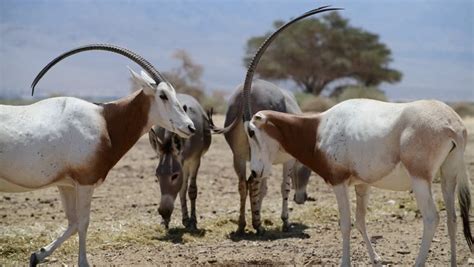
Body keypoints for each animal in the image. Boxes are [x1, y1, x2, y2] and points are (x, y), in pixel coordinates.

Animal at [0, 44, 195, 267]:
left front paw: (37, 255)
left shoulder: (66, 184)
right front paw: (83, 263)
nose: (190, 127)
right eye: (163, 95)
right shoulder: (85, 183)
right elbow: (83, 222)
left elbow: (73, 223)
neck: (104, 121)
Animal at [147, 88, 210, 230]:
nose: (164, 212)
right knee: (182, 189)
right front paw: (166, 221)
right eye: (157, 175)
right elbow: (180, 189)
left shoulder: (195, 160)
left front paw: (193, 221)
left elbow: (191, 190)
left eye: (174, 176)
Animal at [241, 6, 474, 267]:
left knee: (432, 217)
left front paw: (345, 262)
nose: (255, 172)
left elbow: (345, 223)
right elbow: (361, 220)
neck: (318, 128)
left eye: (251, 131)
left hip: (420, 177)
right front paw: (376, 258)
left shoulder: (338, 181)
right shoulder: (363, 184)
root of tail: (453, 125)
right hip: (449, 174)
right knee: (452, 218)